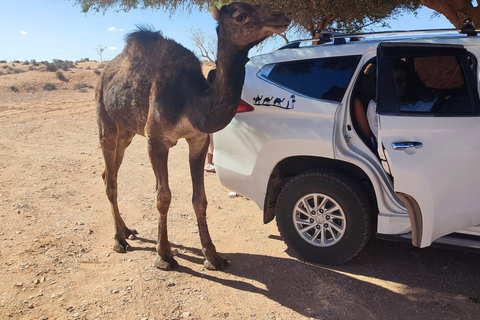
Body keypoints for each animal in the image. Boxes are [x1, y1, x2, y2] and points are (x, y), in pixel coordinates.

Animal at [94, 3, 288, 272]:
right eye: (240, 16)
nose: (281, 16)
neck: (191, 101)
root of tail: (104, 74)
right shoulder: (156, 140)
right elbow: (163, 197)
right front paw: (163, 255)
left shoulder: (199, 139)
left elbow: (200, 199)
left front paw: (212, 256)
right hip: (106, 121)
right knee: (110, 179)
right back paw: (118, 240)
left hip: (127, 132)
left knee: (108, 173)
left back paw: (127, 230)